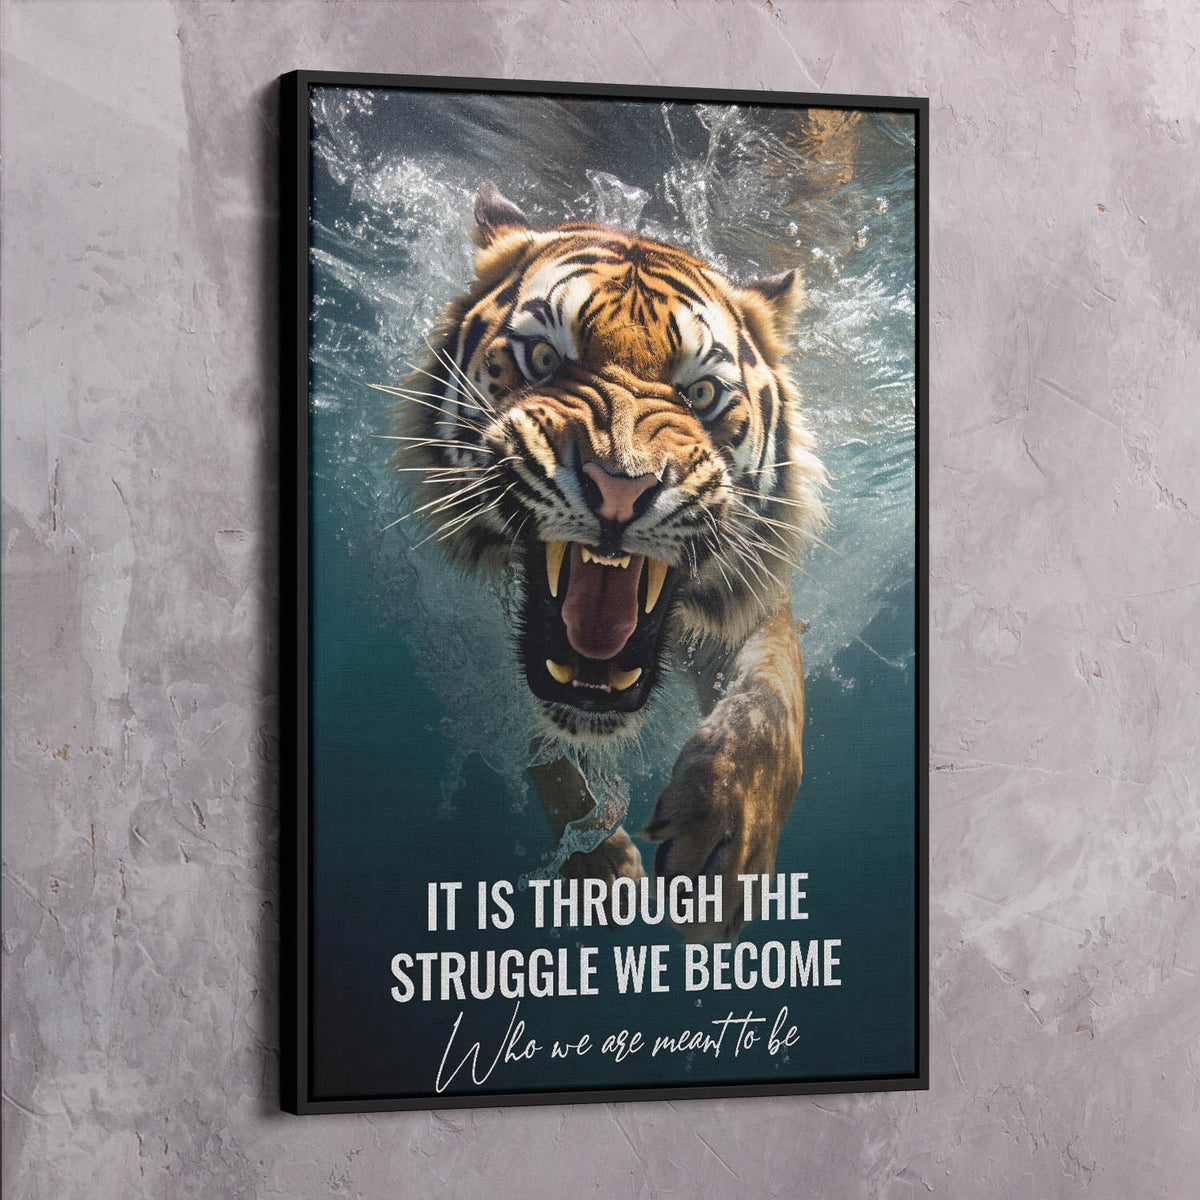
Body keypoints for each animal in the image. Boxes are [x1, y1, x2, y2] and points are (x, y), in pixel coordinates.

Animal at [392, 182, 827, 940]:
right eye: (542, 359)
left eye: (701, 393)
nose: (621, 487)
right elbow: (544, 745)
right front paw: (601, 868)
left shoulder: (752, 601)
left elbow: (771, 703)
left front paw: (729, 846)